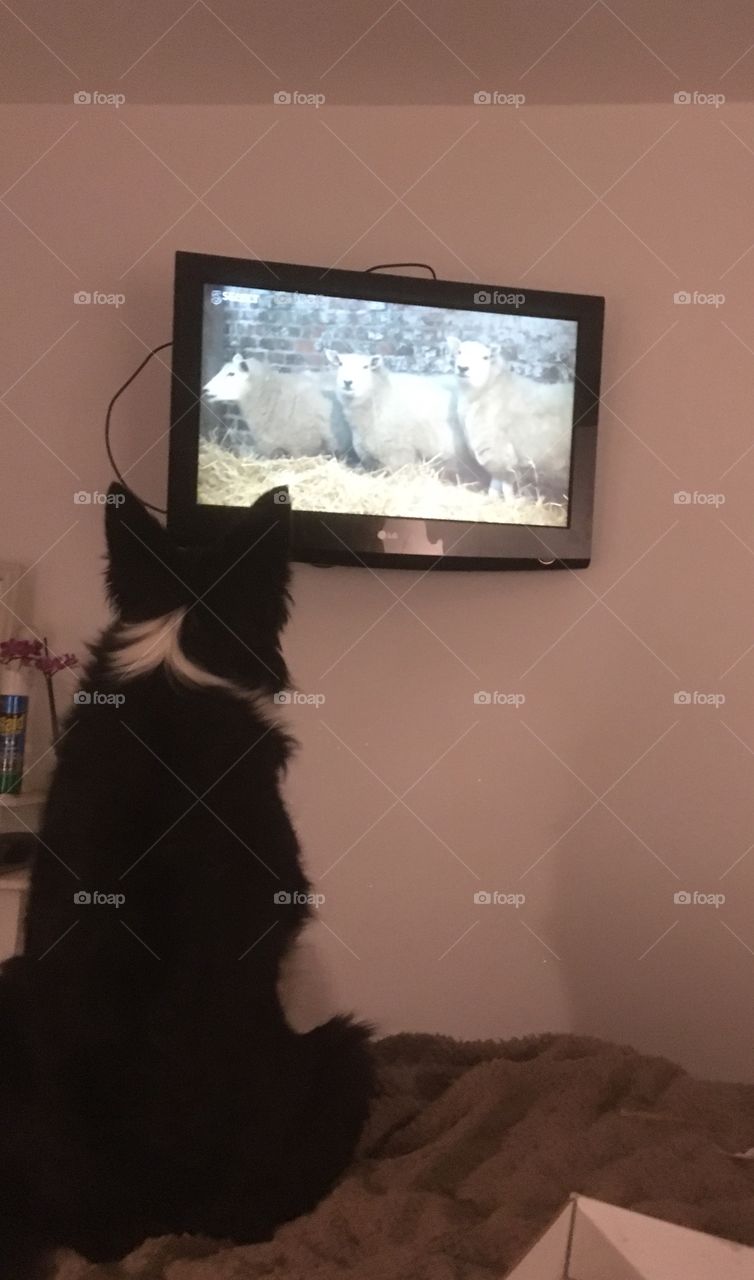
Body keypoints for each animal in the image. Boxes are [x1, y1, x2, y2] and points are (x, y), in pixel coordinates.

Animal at [447, 338, 575, 502]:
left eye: (485, 357)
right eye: (459, 352)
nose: (463, 368)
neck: (490, 389)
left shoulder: (501, 451)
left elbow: (505, 483)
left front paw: (510, 502)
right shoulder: (497, 456)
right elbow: (496, 481)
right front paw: (492, 499)